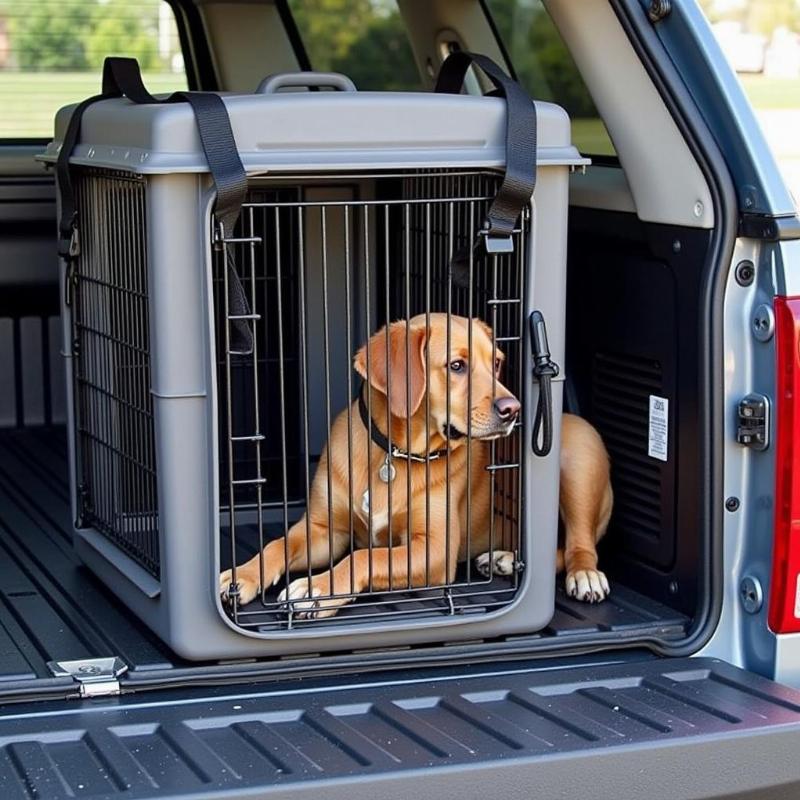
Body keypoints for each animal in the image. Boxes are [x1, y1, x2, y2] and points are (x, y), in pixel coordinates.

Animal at [220, 314, 612, 620]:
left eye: (496, 363)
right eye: (457, 366)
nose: (513, 409)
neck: (397, 455)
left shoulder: (434, 550)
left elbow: (366, 557)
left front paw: (318, 590)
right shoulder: (325, 530)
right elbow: (278, 545)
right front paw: (243, 576)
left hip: (577, 454)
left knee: (580, 545)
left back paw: (584, 575)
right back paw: (502, 559)